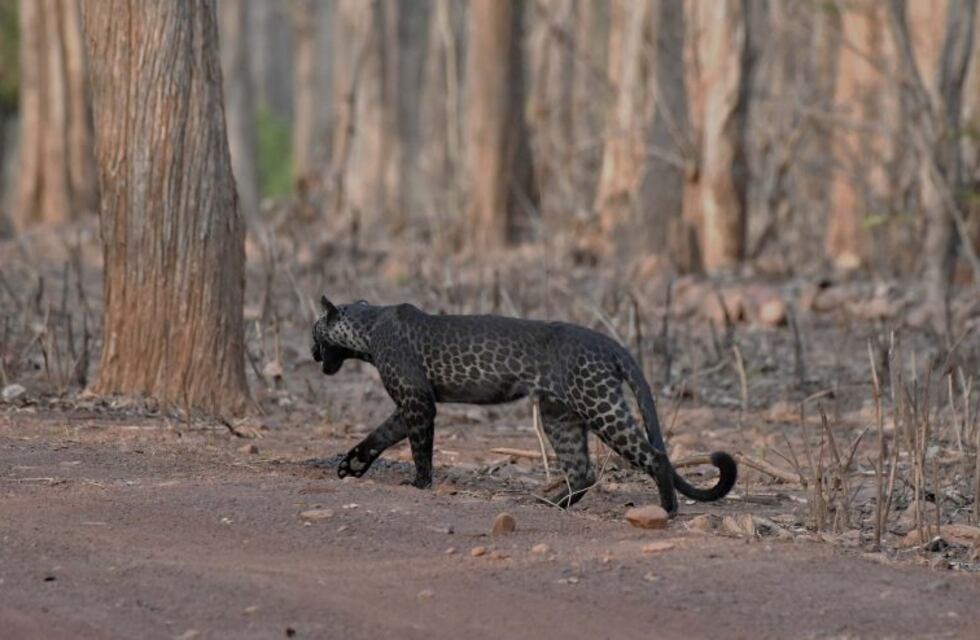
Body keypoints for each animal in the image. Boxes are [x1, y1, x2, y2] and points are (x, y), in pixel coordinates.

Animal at [311, 295, 736, 514]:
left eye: (314, 331)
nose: (312, 353)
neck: (367, 328)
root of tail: (610, 343)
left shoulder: (418, 400)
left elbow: (419, 446)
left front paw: (419, 483)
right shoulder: (410, 403)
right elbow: (382, 433)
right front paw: (351, 465)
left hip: (598, 403)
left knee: (652, 455)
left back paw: (667, 510)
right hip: (560, 415)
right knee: (582, 469)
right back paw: (551, 503)